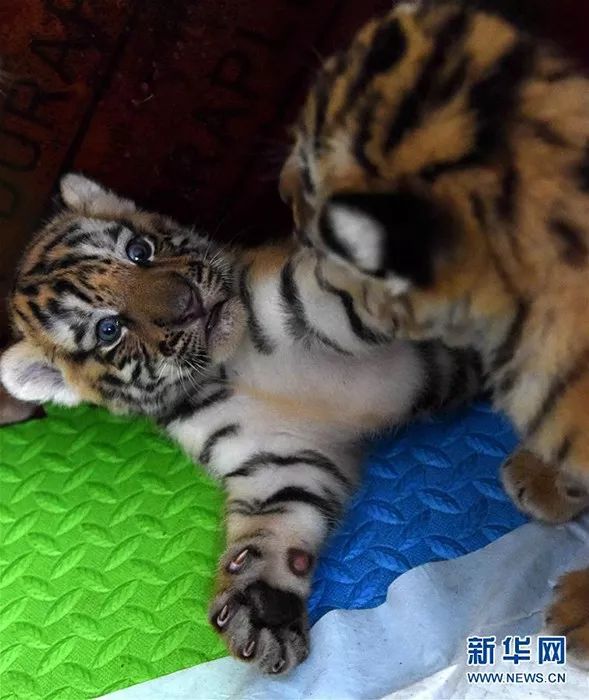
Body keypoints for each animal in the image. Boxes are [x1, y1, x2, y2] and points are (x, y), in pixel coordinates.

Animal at [0, 174, 484, 674]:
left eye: (139, 251)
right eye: (108, 330)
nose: (187, 304)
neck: (230, 364)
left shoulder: (301, 295)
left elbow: (345, 294)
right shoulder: (280, 456)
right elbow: (277, 524)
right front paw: (263, 608)